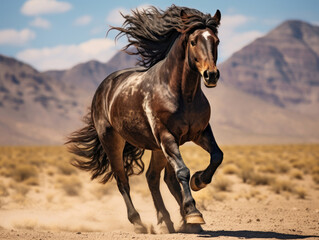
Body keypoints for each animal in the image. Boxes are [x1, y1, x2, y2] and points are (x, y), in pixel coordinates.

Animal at [66, 5, 224, 233]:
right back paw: (140, 222)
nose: (211, 75)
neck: (181, 94)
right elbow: (183, 171)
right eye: (194, 41)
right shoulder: (167, 136)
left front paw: (199, 182)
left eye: (216, 41)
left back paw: (173, 221)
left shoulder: (199, 132)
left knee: (155, 177)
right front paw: (194, 212)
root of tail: (104, 87)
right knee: (123, 180)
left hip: (159, 147)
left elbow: (216, 156)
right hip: (114, 141)